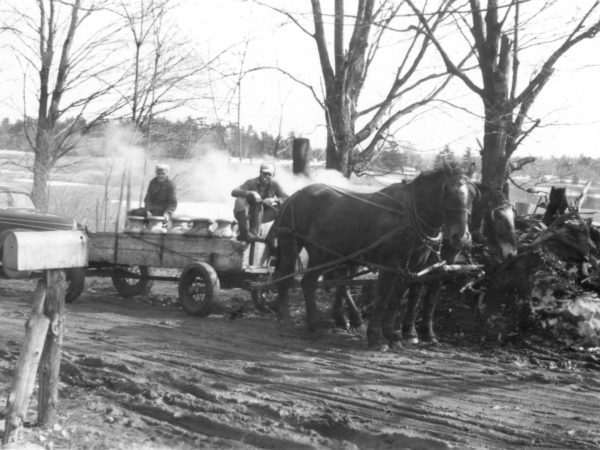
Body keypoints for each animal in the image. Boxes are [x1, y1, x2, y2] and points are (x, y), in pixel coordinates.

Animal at [270, 163, 476, 350]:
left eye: (474, 195)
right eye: (447, 193)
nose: (461, 237)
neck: (409, 215)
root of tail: (296, 194)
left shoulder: (410, 269)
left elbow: (395, 301)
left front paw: (393, 336)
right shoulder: (390, 265)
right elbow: (383, 299)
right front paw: (376, 337)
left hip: (327, 254)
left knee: (311, 282)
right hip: (299, 248)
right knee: (292, 280)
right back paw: (295, 320)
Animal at [396, 181, 516, 342]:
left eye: (514, 215)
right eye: (498, 216)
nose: (512, 254)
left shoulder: (441, 269)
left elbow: (431, 299)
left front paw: (428, 332)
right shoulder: (421, 266)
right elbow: (415, 296)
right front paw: (409, 331)